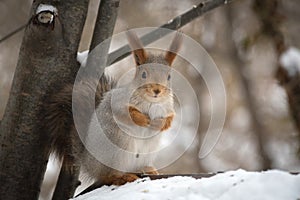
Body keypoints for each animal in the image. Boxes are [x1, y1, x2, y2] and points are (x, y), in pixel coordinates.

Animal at [45, 30, 183, 188]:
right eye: (143, 74)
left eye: (169, 76)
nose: (157, 90)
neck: (152, 102)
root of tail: (88, 163)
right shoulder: (117, 101)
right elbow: (124, 113)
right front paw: (143, 119)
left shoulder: (168, 107)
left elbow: (170, 118)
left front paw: (162, 124)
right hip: (117, 147)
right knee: (107, 176)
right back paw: (121, 177)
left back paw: (148, 169)